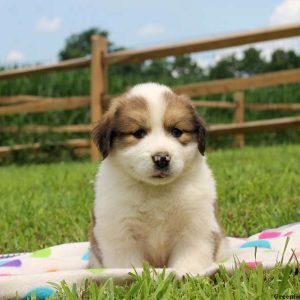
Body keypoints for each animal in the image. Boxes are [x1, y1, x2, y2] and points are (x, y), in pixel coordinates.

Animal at [89, 82, 227, 276]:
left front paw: (187, 275)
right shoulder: (119, 232)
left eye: (176, 131)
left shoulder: (196, 226)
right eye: (139, 133)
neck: (156, 190)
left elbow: (190, 259)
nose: (162, 158)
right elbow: (128, 266)